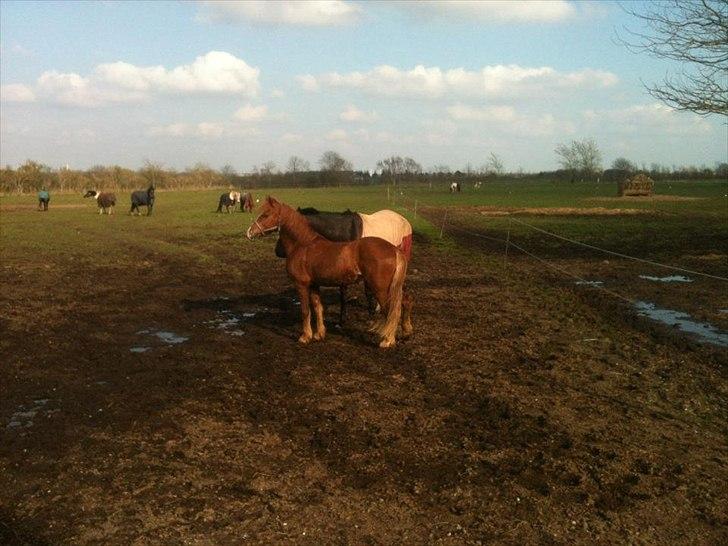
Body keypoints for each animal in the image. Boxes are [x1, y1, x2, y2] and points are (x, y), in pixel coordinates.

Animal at [247, 196, 412, 346]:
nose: (249, 232)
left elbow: (305, 310)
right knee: (405, 301)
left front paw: (305, 337)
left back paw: (387, 340)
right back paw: (406, 333)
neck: (303, 244)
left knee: (391, 310)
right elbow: (317, 307)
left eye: (265, 215)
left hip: (380, 288)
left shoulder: (301, 284)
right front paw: (319, 334)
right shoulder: (314, 284)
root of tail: (393, 249)